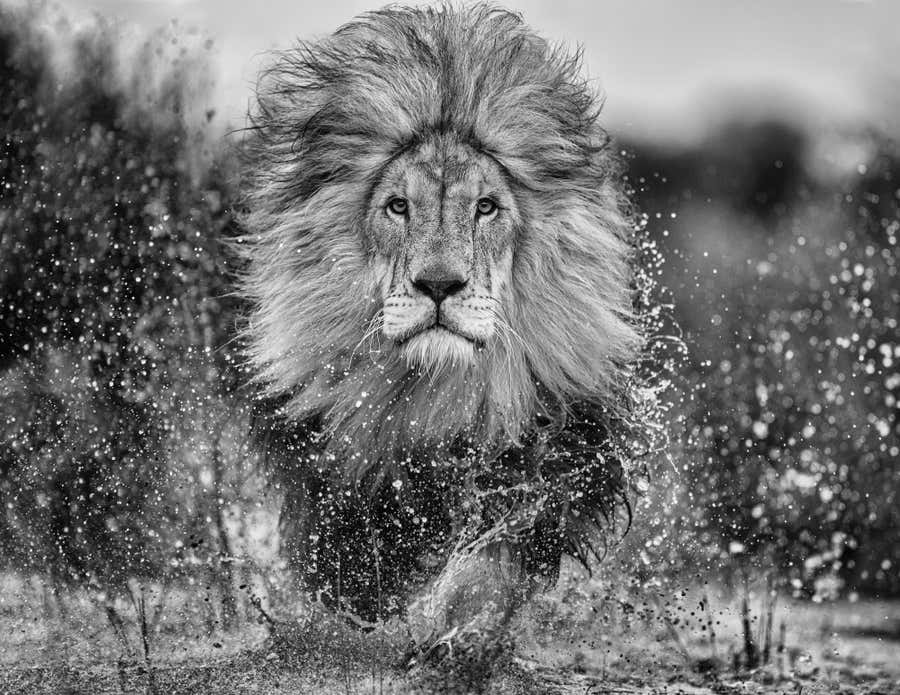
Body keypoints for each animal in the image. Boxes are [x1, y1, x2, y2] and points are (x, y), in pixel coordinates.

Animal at [239, 3, 662, 655]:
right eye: (398, 206)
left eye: (486, 207)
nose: (439, 285)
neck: (436, 394)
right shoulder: (339, 477)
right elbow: (352, 573)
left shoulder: (542, 462)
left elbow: (489, 562)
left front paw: (461, 635)